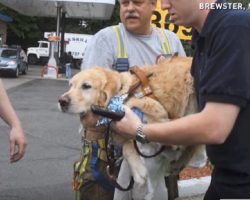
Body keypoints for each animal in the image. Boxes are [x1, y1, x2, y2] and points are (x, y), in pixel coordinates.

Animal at [58, 56, 205, 200]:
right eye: (70, 85)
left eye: (86, 86)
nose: (61, 101)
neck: (121, 93)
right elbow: (127, 145)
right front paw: (137, 168)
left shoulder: (145, 106)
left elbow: (146, 120)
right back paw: (177, 164)